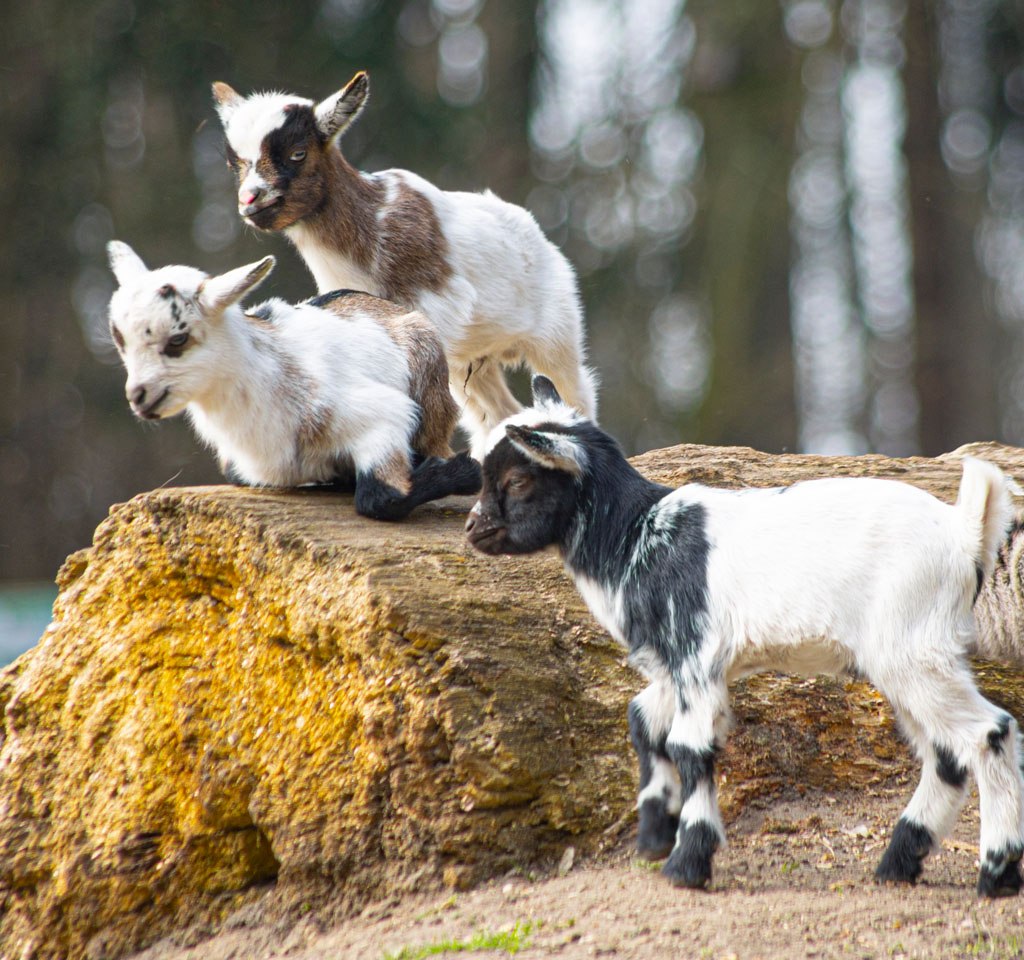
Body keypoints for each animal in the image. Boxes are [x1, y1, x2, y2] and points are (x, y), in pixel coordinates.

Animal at [105, 243, 481, 519]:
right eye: (119, 338)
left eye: (178, 339)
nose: (138, 396)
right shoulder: (241, 466)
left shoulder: (384, 415)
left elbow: (381, 497)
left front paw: (467, 469)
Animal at [466, 372, 1024, 892]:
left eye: (517, 480)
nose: (473, 528)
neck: (636, 535)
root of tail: (964, 533)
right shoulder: (677, 667)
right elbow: (642, 721)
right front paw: (654, 833)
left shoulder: (694, 659)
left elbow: (689, 749)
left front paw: (687, 863)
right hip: (909, 657)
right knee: (946, 754)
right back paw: (898, 864)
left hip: (913, 650)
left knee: (989, 733)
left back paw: (996, 873)